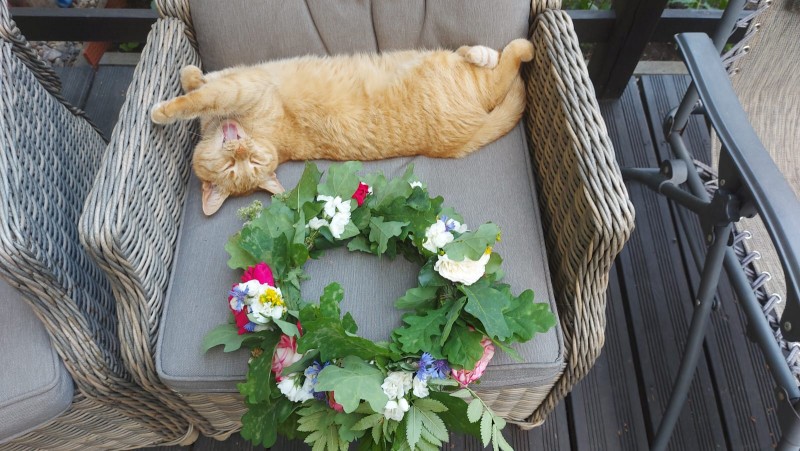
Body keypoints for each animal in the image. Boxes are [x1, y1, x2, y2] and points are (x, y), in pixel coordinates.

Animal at [150, 39, 535, 215]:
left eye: (252, 161)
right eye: (233, 167)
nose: (239, 148)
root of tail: (464, 139)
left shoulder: (241, 86)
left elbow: (199, 93)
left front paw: (166, 106)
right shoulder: (236, 87)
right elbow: (201, 89)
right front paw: (187, 84)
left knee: (510, 62)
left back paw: (497, 51)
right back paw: (484, 53)